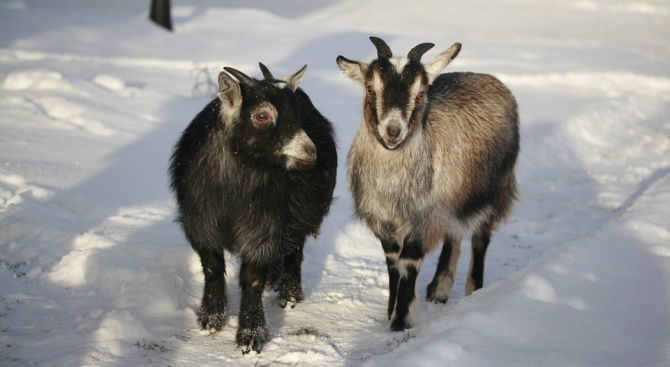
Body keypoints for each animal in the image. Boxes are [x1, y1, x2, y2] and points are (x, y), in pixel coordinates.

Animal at [168, 62, 336, 354]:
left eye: (296, 113)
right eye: (262, 115)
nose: (309, 151)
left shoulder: (264, 227)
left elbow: (252, 278)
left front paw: (250, 335)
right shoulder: (200, 221)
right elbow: (212, 267)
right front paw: (211, 319)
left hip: (301, 215)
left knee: (294, 248)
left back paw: (289, 293)